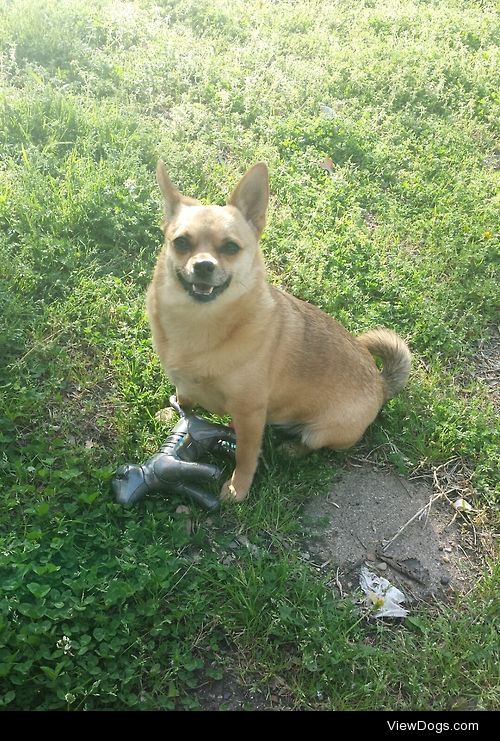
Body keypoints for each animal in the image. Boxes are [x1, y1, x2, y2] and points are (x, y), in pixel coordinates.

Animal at [146, 159, 412, 500]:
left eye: (230, 247)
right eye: (181, 242)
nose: (203, 265)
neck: (200, 321)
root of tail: (380, 386)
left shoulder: (249, 414)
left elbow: (246, 455)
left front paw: (237, 488)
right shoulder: (186, 384)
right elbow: (186, 402)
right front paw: (174, 414)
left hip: (322, 431)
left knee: (313, 444)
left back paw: (292, 449)